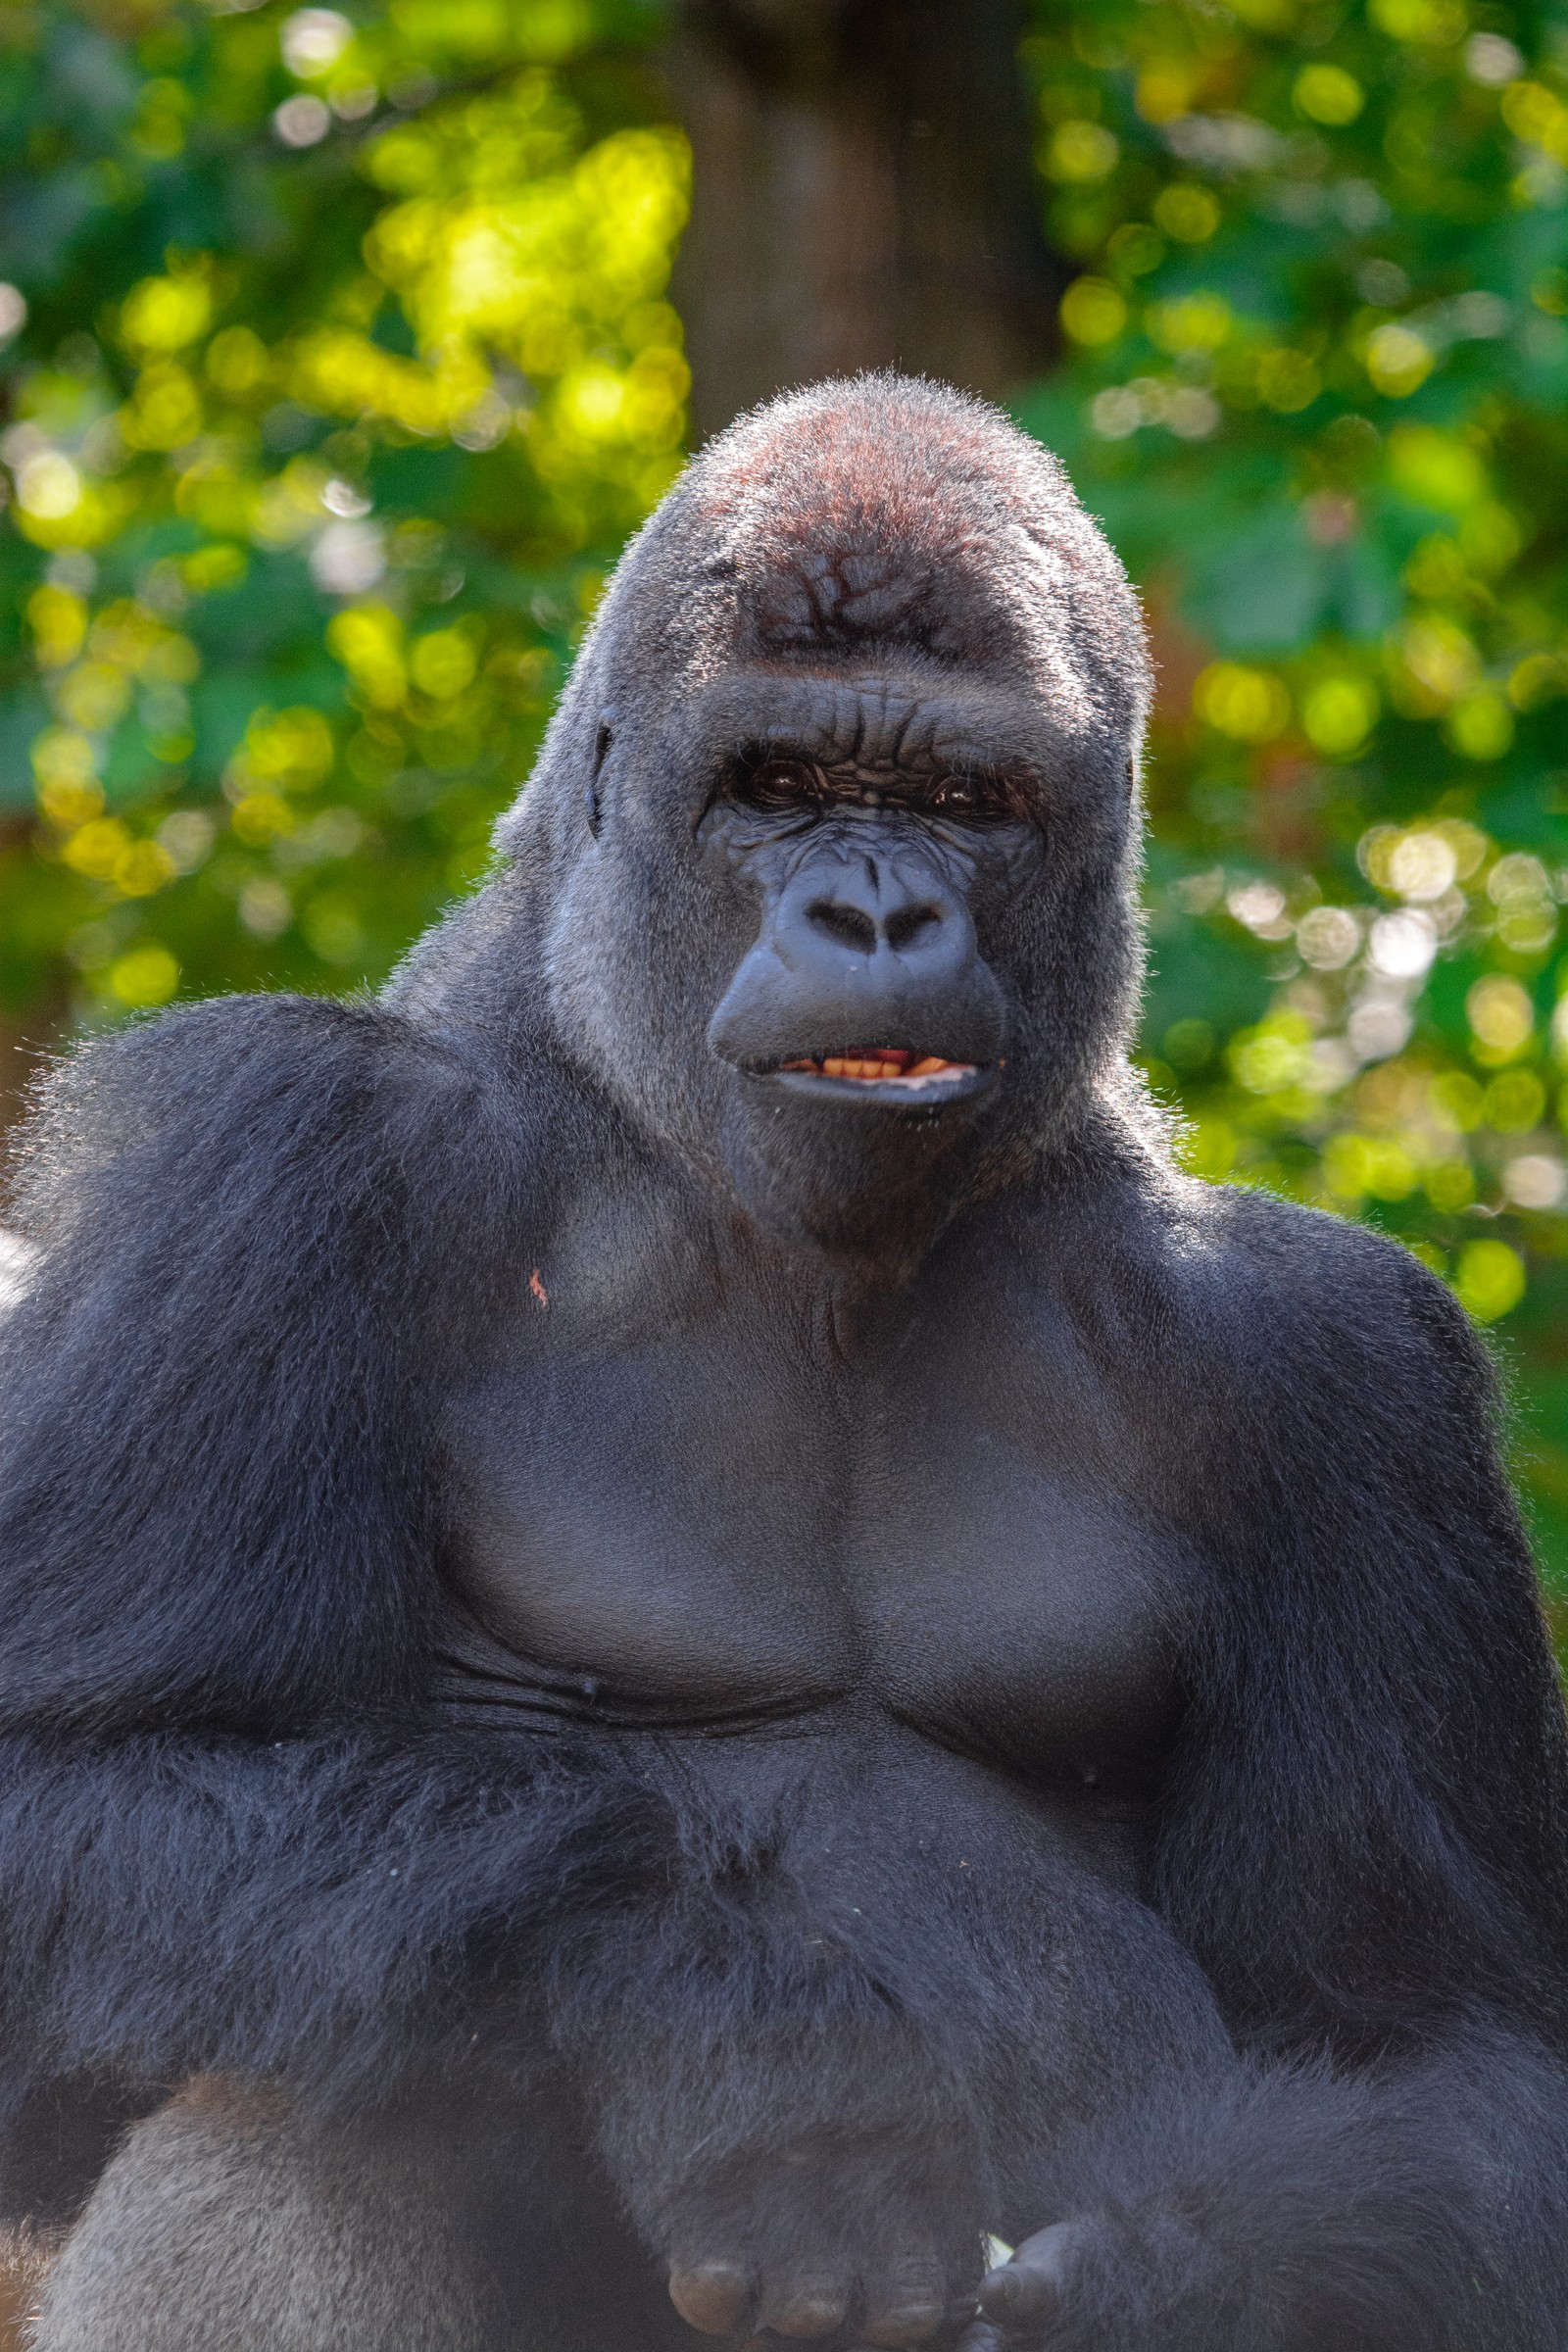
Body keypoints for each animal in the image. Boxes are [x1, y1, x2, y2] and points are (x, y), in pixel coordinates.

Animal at [3, 380, 1568, 2352]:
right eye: (782, 787)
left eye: (966, 802)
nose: (877, 920)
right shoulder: (270, 1158)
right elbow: (58, 1800)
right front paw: (727, 2031)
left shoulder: (1344, 1364)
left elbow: (1443, 2047)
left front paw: (1181, 2281)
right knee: (324, 2067)